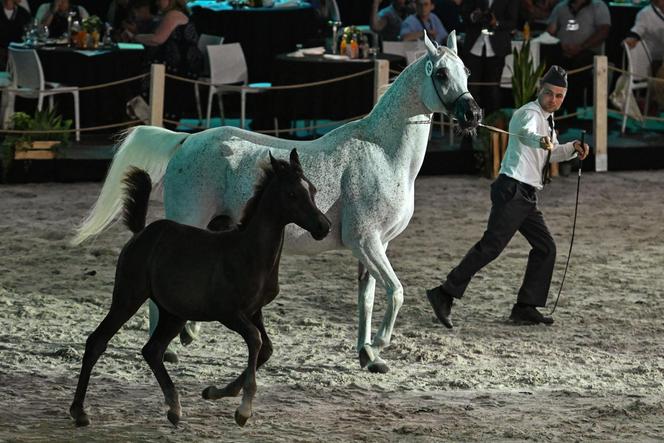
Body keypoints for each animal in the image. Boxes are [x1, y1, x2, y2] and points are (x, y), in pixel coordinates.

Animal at [74, 33, 482, 374]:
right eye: (441, 73)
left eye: (466, 71)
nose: (473, 114)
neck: (382, 153)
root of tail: (186, 140)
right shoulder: (366, 242)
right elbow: (396, 292)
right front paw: (381, 343)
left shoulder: (374, 246)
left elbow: (366, 298)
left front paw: (368, 356)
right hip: (187, 221)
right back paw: (171, 347)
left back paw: (186, 335)